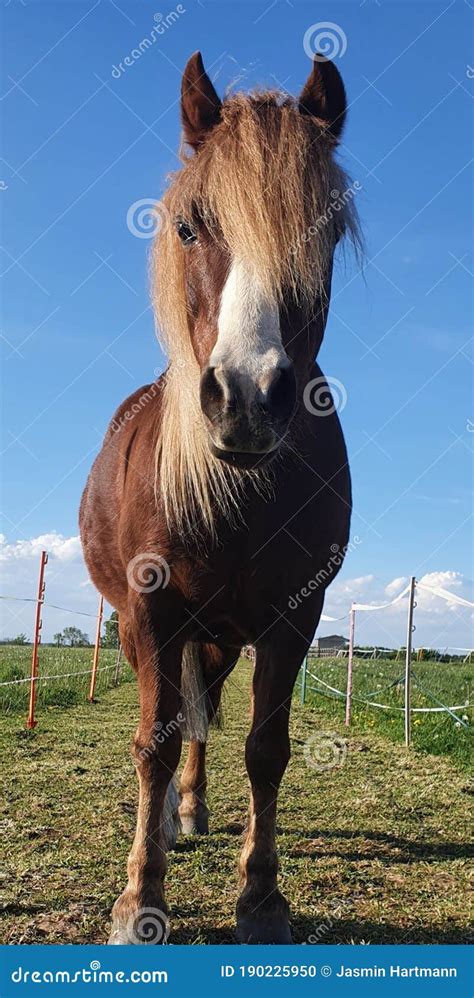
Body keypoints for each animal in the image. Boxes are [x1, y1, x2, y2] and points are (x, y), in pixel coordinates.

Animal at [79, 52, 360, 944]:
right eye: (188, 228)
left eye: (322, 231)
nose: (245, 399)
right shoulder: (149, 611)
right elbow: (153, 743)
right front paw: (140, 897)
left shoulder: (292, 617)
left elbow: (265, 749)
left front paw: (261, 895)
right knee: (175, 725)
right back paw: (172, 821)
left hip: (220, 636)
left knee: (207, 718)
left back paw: (196, 809)